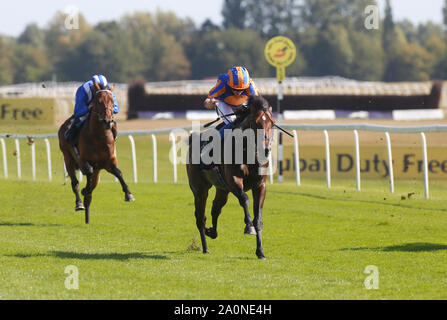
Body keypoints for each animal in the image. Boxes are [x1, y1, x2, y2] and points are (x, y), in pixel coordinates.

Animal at [58, 81, 135, 224]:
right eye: (98, 101)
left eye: (112, 101)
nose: (107, 121)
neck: (98, 136)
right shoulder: (83, 160)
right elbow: (88, 172)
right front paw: (84, 192)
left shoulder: (109, 161)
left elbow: (118, 172)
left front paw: (129, 194)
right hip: (68, 158)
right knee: (75, 183)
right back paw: (79, 203)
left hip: (98, 169)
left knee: (93, 183)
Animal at [187, 95, 274, 260]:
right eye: (255, 122)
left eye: (271, 123)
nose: (265, 150)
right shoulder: (234, 180)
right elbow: (244, 199)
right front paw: (248, 227)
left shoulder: (260, 185)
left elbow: (258, 218)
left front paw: (260, 251)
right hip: (200, 189)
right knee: (200, 217)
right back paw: (205, 247)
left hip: (222, 189)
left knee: (215, 209)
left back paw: (211, 232)